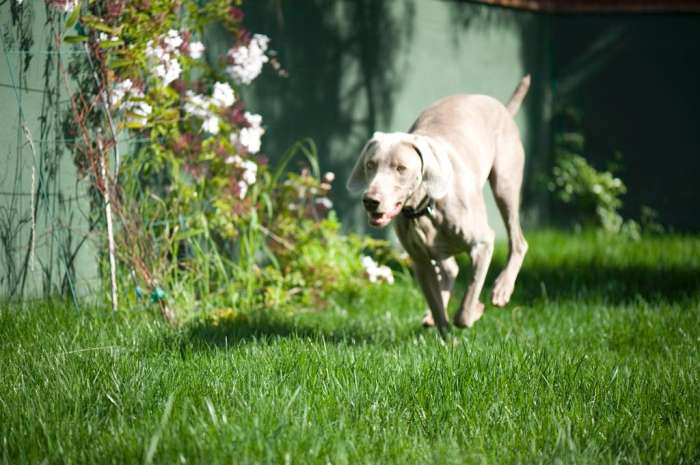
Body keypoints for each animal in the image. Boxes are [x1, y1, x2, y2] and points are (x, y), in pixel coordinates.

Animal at [344, 76, 532, 332]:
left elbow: (466, 306)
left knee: (518, 240)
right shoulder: (420, 262)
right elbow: (438, 309)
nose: (370, 201)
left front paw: (475, 310)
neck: (426, 207)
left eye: (400, 168)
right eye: (369, 165)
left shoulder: (483, 243)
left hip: (505, 183)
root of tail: (502, 107)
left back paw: (502, 289)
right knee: (450, 268)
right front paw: (444, 332)